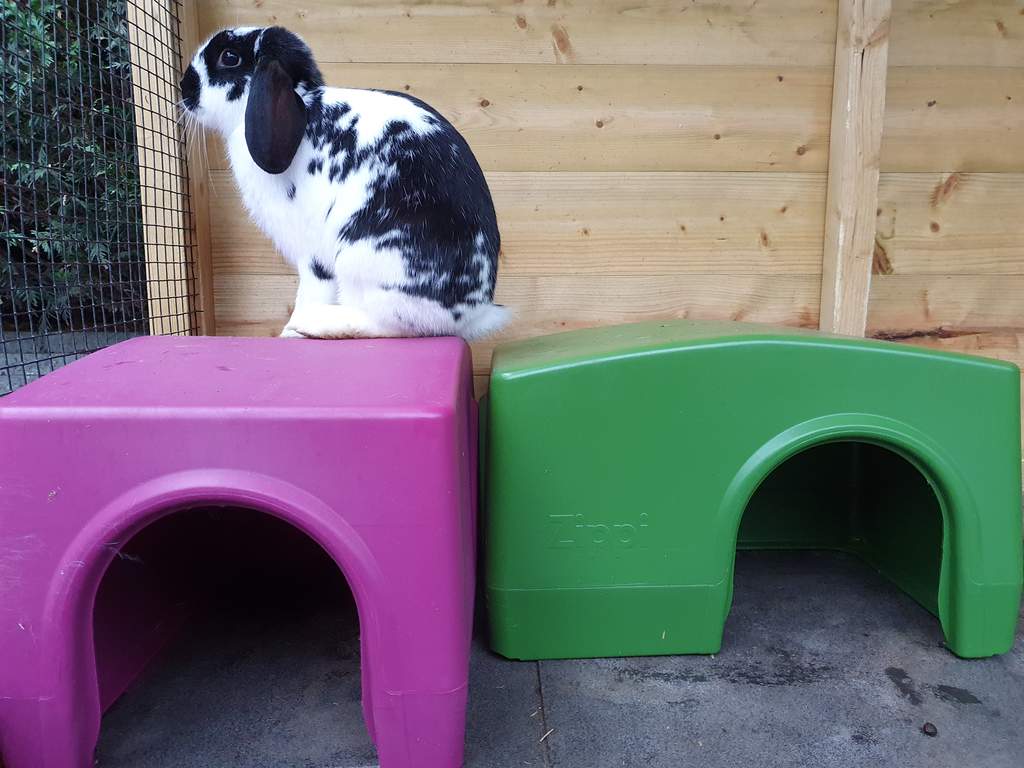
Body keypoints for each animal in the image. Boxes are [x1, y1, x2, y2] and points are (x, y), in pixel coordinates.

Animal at [179, 26, 508, 340]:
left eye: (229, 57)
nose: (184, 86)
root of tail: (472, 314)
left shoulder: (311, 255)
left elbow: (310, 292)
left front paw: (288, 333)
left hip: (360, 260)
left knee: (393, 323)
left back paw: (313, 325)